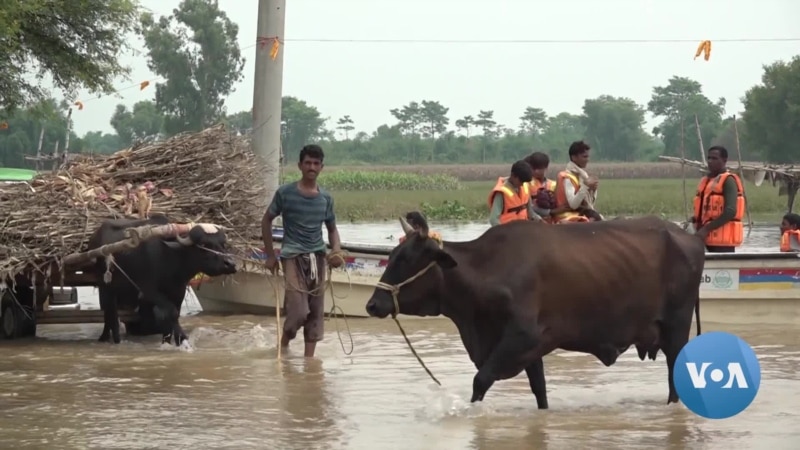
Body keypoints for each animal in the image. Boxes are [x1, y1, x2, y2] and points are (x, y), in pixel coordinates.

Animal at [88, 214, 238, 344]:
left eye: (223, 244)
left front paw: (170, 340)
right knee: (111, 316)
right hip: (106, 287)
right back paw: (110, 339)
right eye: (203, 245)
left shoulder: (178, 291)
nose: (230, 264)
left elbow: (173, 315)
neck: (171, 257)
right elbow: (171, 312)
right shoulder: (149, 291)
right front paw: (182, 339)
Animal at [366, 213, 704, 410]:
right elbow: (539, 390)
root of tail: (691, 238)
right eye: (392, 255)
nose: (373, 305)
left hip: (676, 328)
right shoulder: (530, 348)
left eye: (406, 259)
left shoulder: (522, 336)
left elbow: (480, 381)